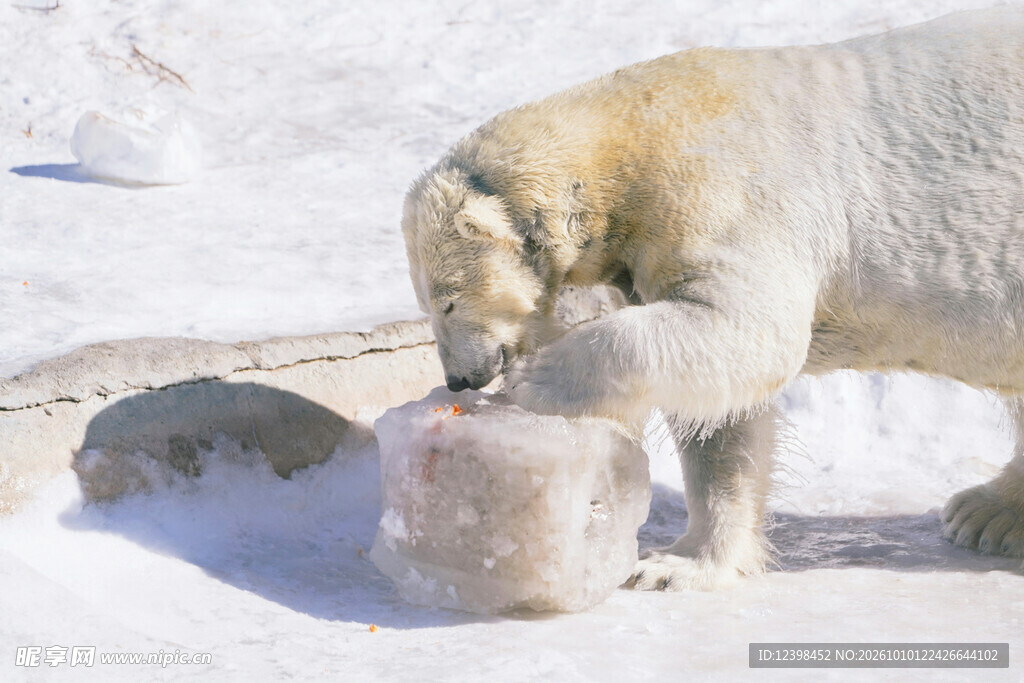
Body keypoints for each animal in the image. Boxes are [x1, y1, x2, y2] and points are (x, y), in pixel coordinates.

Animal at [401, 8, 1024, 590]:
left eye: (448, 300)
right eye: (429, 305)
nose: (459, 379)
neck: (632, 136)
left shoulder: (724, 193)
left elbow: (747, 330)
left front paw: (537, 378)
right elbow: (722, 423)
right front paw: (678, 563)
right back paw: (989, 513)